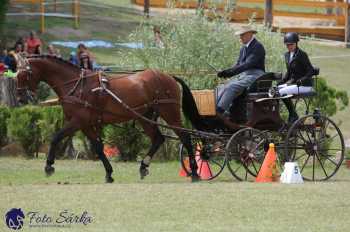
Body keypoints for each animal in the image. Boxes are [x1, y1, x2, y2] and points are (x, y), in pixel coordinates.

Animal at [16, 55, 206, 182]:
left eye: (23, 75)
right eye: (15, 75)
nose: (20, 99)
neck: (76, 84)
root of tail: (168, 76)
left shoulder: (78, 121)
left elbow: (56, 137)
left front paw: (49, 166)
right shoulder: (86, 124)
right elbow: (98, 148)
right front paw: (109, 173)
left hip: (170, 113)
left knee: (185, 138)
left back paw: (194, 172)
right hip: (145, 117)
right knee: (158, 138)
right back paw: (143, 167)